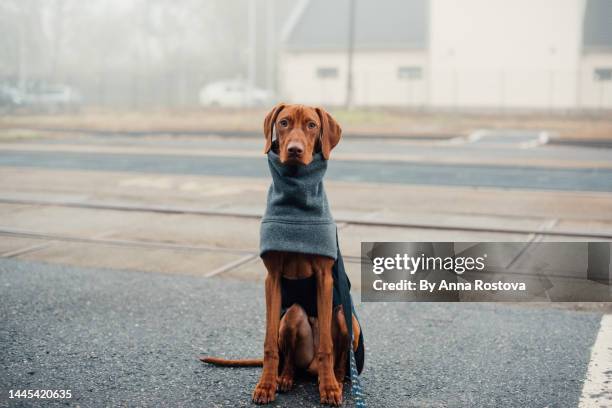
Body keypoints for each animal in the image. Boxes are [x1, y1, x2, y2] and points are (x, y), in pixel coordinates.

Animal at [203, 104, 360, 404]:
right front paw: (266, 385)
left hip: (347, 319)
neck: (296, 199)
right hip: (291, 317)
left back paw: (337, 381)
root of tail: (309, 368)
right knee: (289, 357)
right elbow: (269, 345)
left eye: (312, 125)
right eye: (284, 122)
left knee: (340, 357)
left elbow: (327, 345)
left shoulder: (324, 278)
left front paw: (329, 388)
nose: (295, 150)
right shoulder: (272, 278)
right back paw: (285, 378)